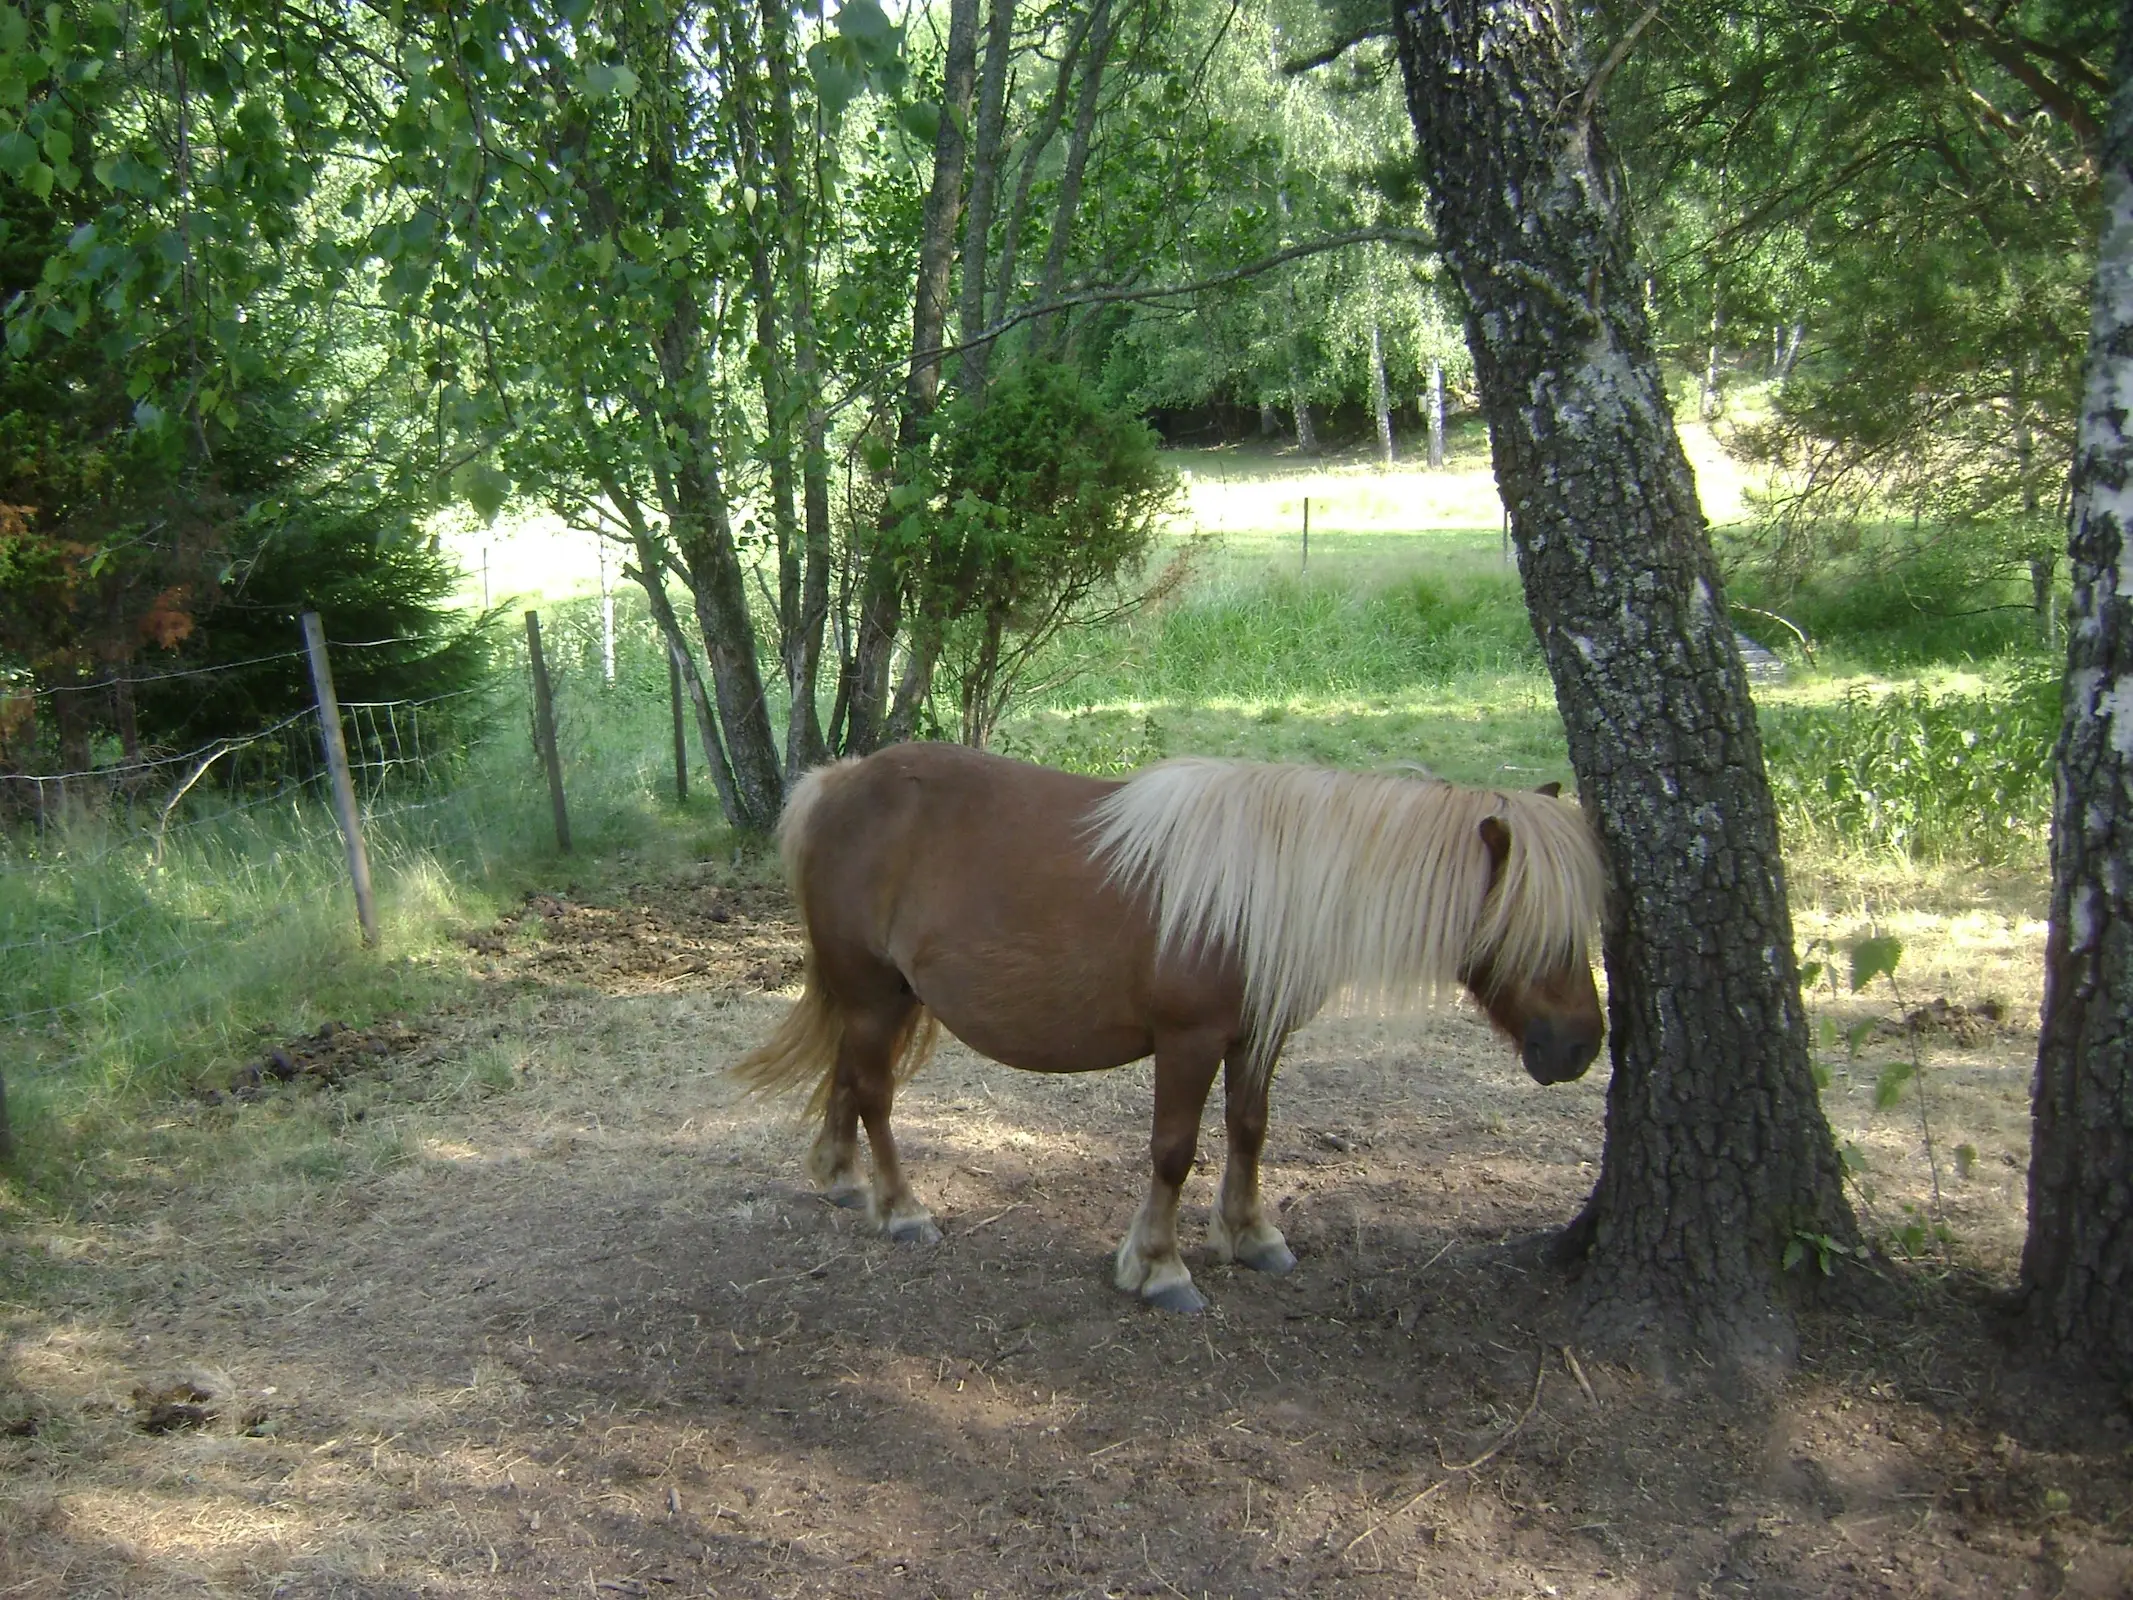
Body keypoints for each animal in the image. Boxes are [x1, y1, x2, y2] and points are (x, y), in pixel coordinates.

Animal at [733, 746, 1604, 1305]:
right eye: (1532, 930)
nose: (1579, 1046)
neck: (1260, 888)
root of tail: (837, 781)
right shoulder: (1189, 1043)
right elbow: (1174, 1151)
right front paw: (1157, 1267)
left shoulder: (1257, 1037)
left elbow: (1249, 1129)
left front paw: (1251, 1235)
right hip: (874, 995)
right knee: (875, 1095)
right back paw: (902, 1209)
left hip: (885, 998)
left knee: (848, 1076)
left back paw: (844, 1181)